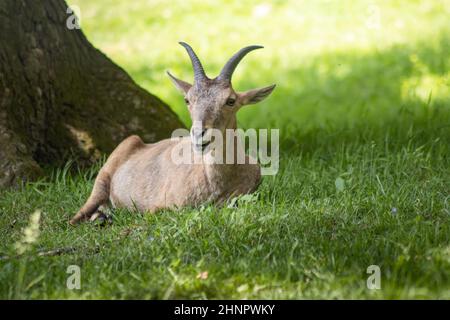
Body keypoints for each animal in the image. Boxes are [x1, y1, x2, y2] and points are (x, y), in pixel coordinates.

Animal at [69, 42, 274, 225]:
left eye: (230, 101)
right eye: (187, 100)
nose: (199, 134)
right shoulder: (160, 205)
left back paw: (102, 217)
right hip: (103, 177)